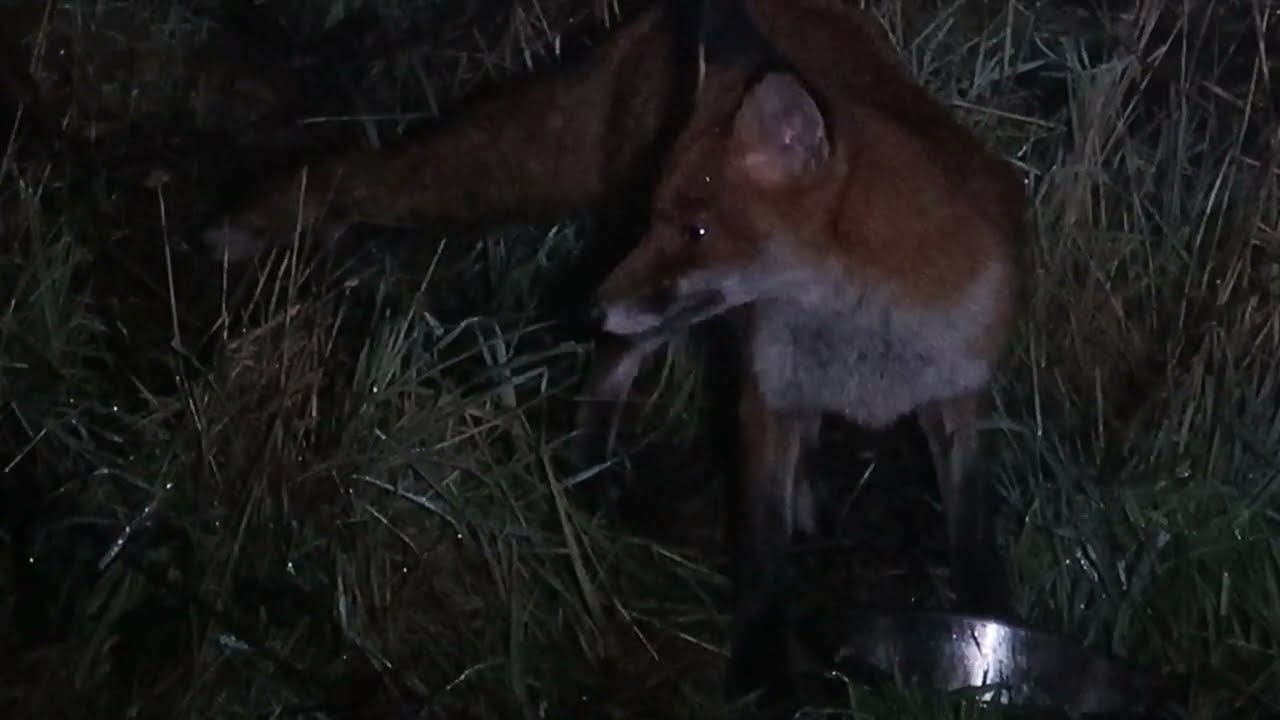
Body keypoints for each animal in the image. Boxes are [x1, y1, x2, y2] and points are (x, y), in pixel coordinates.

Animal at [582, 0, 1027, 707]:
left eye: (697, 231)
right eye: (658, 220)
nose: (591, 306)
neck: (867, 323)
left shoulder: (954, 394)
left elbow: (971, 523)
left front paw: (992, 625)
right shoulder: (766, 399)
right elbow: (764, 555)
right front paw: (763, 672)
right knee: (611, 367)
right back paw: (589, 481)